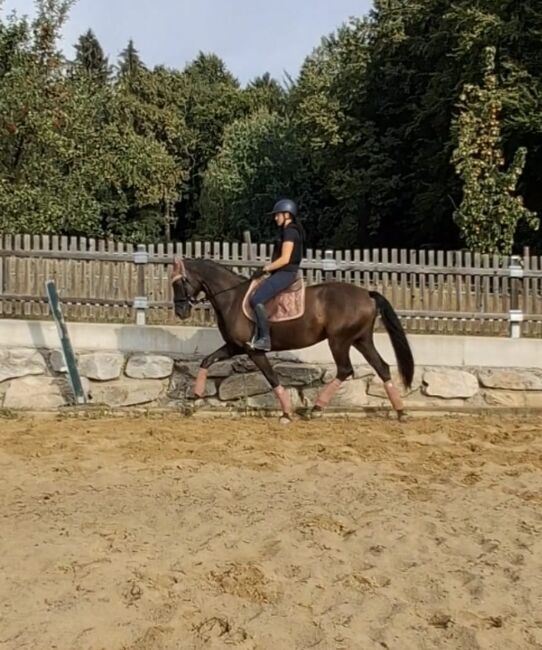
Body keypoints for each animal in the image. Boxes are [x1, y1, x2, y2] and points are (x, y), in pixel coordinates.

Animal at [171, 257, 414, 422]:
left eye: (178, 282)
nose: (181, 312)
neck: (232, 297)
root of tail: (367, 294)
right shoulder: (234, 347)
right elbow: (206, 361)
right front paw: (194, 400)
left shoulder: (254, 351)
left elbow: (272, 378)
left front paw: (286, 413)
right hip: (361, 340)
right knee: (382, 367)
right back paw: (401, 411)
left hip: (339, 341)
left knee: (345, 369)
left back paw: (316, 409)